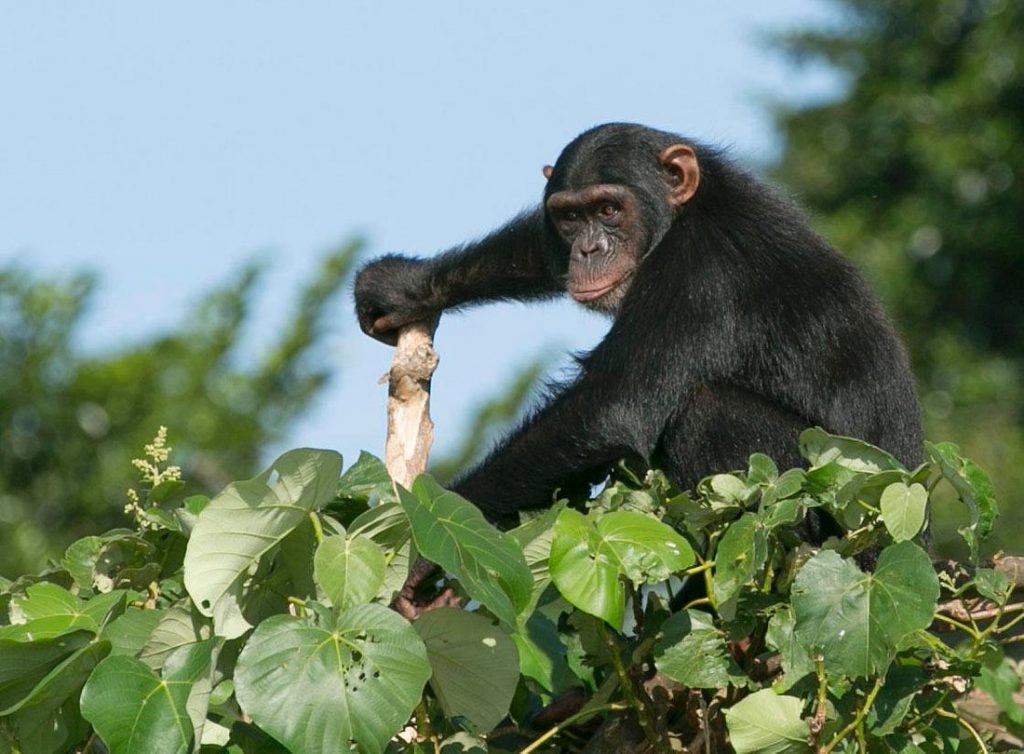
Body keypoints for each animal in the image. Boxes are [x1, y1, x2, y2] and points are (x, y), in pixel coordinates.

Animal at [356, 120, 925, 606]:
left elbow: (611, 406)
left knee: (706, 411)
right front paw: (405, 285)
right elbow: (540, 252)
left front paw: (431, 537)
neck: (681, 216)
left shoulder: (697, 276)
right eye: (570, 217)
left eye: (609, 210)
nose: (588, 249)